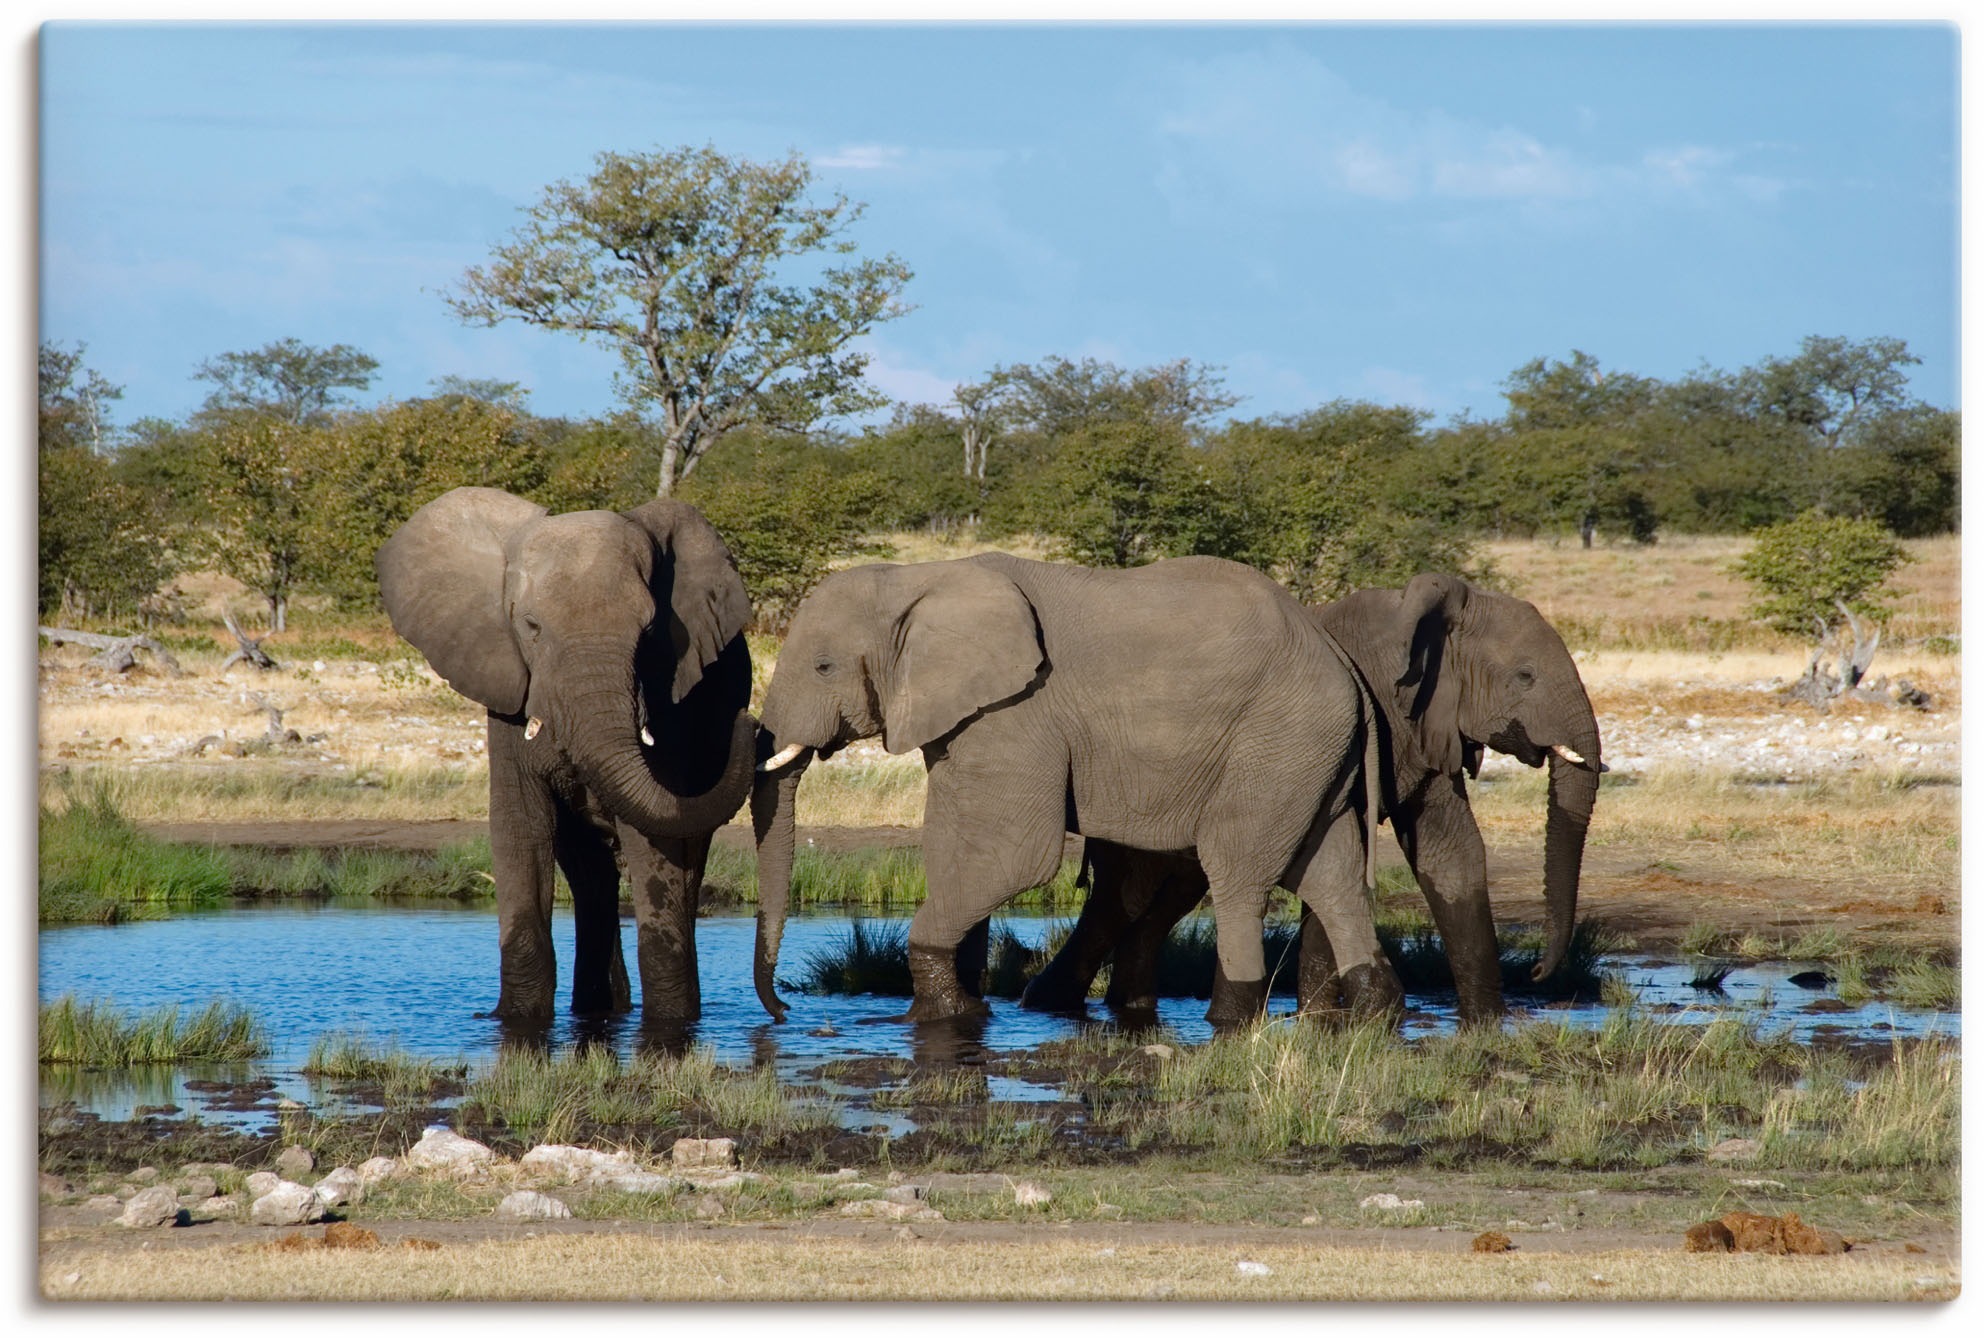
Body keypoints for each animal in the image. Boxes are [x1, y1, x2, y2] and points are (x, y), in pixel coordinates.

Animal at [376, 486, 757, 1022]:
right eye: (531, 625)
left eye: (649, 630)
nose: (750, 722)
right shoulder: (507, 697)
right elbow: (520, 828)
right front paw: (516, 1021)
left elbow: (653, 843)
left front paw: (670, 1026)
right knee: (590, 877)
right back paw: (599, 1010)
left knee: (685, 867)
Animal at [748, 551, 1391, 1029]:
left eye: (824, 667)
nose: (784, 1013)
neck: (917, 577)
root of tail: (1343, 662)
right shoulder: (971, 718)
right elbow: (956, 847)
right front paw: (965, 1008)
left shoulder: (1019, 711)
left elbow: (1014, 856)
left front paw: (938, 1014)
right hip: (1308, 753)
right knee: (1331, 873)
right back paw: (1376, 1012)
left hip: (1278, 739)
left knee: (1239, 872)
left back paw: (1230, 1019)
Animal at [1020, 573, 1603, 1026]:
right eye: (1525, 676)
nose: (1537, 972)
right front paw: (1321, 1017)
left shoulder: (1427, 728)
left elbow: (1451, 856)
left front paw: (1486, 1024)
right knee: (1126, 894)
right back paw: (1050, 1006)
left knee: (1163, 898)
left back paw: (1123, 1008)